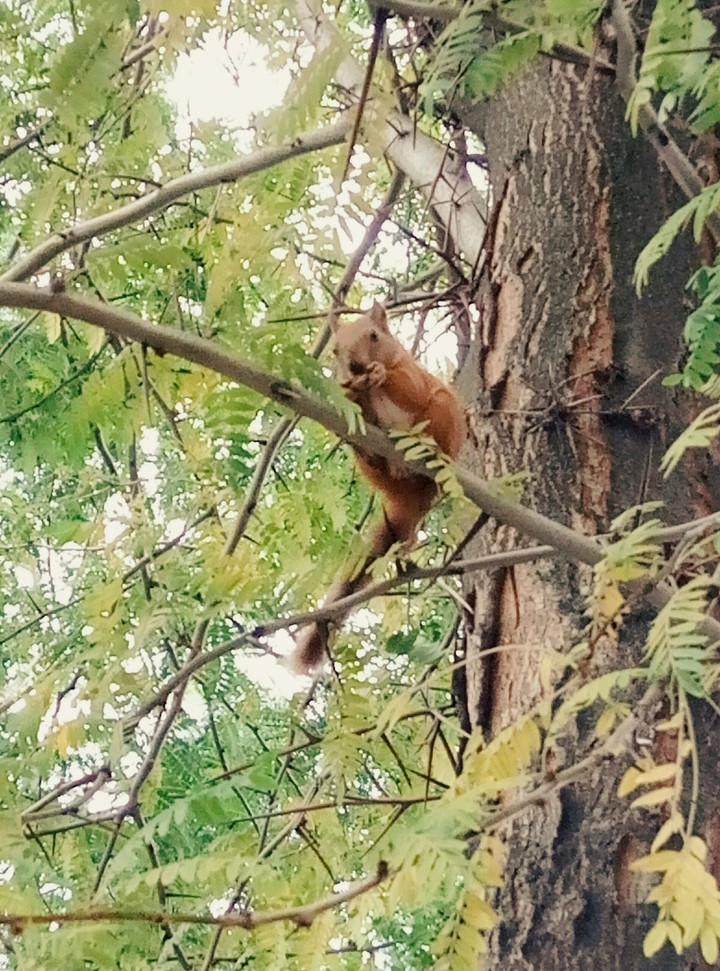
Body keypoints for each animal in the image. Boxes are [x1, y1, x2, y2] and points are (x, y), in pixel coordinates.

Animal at [288, 301, 465, 675]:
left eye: (373, 336)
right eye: (335, 350)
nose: (354, 366)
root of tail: (407, 501)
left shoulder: (412, 374)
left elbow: (408, 386)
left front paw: (378, 374)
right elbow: (358, 406)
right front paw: (349, 388)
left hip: (443, 415)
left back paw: (432, 452)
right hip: (370, 462)